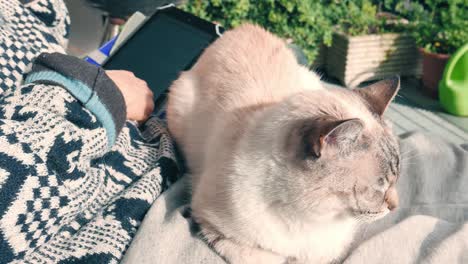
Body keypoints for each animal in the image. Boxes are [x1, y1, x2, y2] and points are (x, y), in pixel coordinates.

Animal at [166, 23, 400, 262]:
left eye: (395, 179)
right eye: (380, 184)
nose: (395, 207)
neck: (313, 220)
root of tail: (240, 28)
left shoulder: (328, 253)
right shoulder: (212, 224)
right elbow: (269, 257)